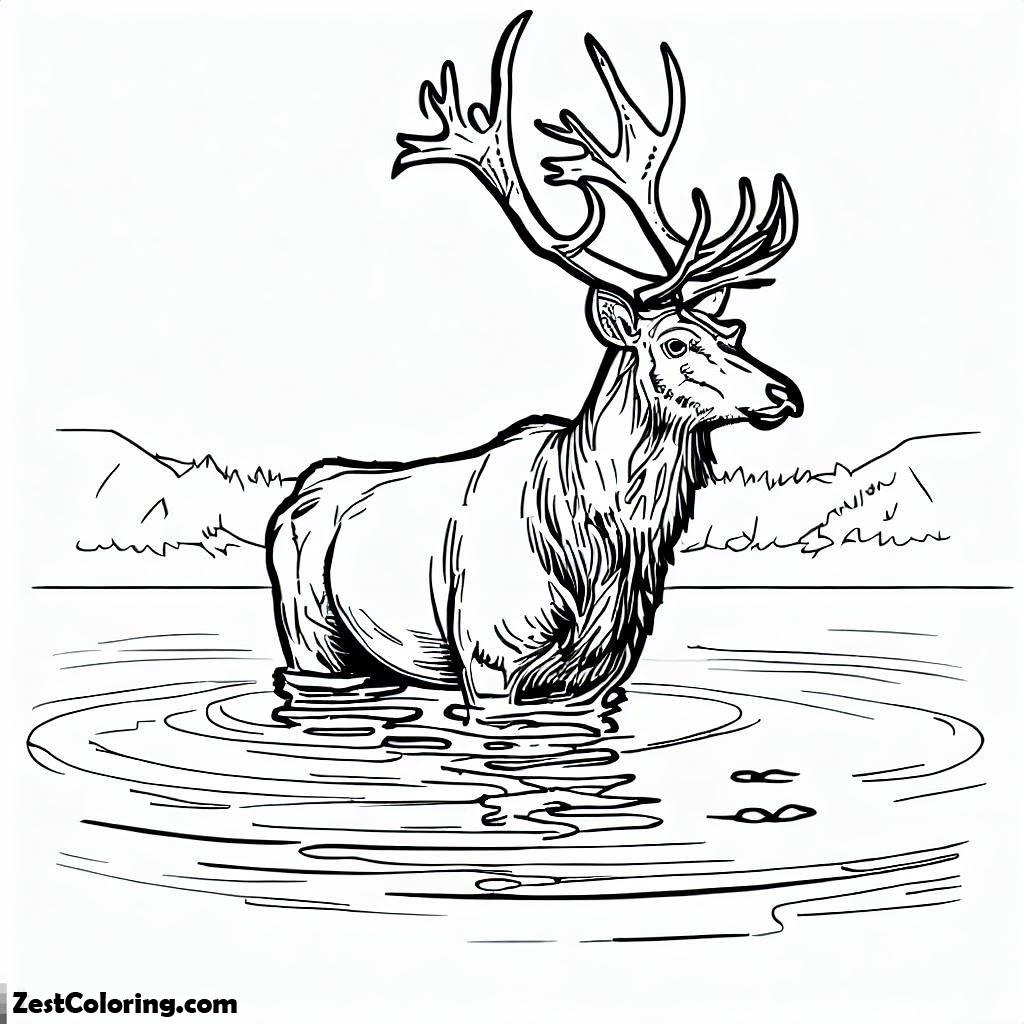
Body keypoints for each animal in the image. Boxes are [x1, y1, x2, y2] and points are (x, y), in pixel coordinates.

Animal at [266, 11, 803, 726]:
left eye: (734, 330)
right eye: (676, 342)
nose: (785, 392)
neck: (599, 553)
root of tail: (296, 495)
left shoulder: (603, 674)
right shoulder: (487, 657)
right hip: (312, 639)